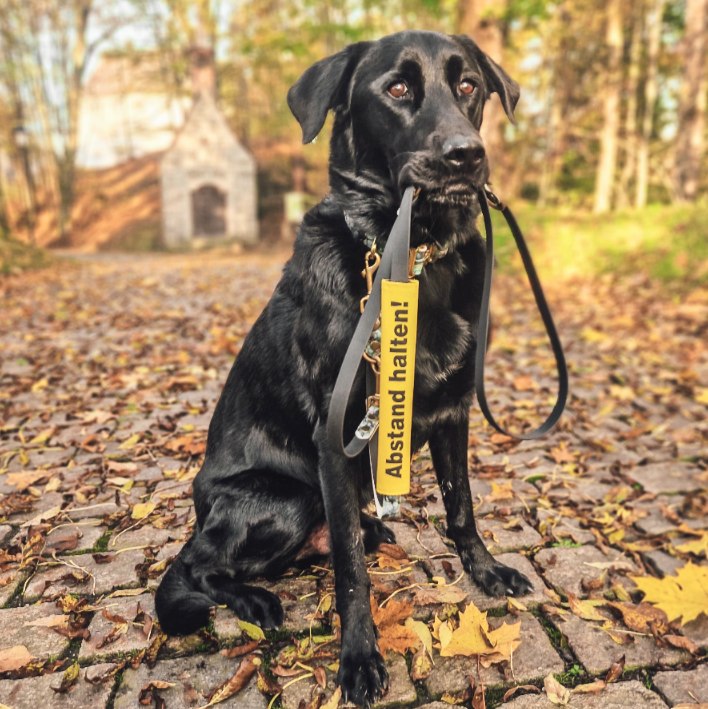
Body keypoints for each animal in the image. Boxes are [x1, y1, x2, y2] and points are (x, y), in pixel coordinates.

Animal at [155, 31, 532, 708]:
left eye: (469, 86)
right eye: (398, 88)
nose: (467, 155)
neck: (415, 256)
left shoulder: (455, 412)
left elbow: (462, 506)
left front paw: (485, 571)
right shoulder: (336, 437)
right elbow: (352, 574)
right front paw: (358, 657)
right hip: (285, 497)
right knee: (200, 565)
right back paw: (255, 598)